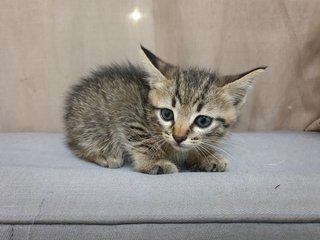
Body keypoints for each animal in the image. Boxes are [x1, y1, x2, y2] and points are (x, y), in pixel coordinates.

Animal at [63, 45, 266, 173]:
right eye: (167, 114)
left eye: (203, 120)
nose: (178, 137)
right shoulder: (128, 108)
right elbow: (141, 137)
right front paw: (154, 161)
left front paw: (205, 157)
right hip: (91, 123)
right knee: (79, 145)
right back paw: (104, 155)